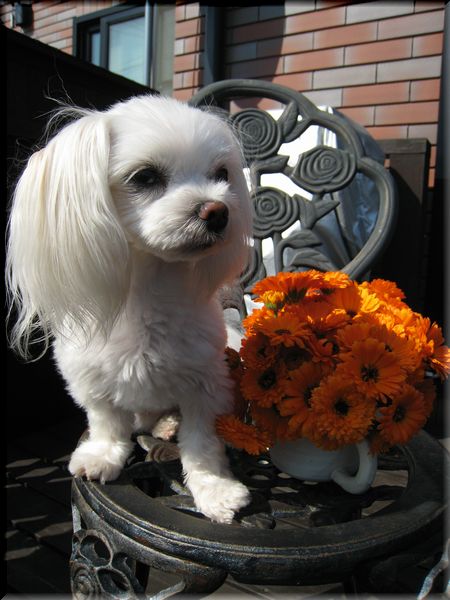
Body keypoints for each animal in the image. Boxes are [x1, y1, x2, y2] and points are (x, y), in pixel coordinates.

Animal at [6, 95, 253, 523]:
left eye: (222, 173)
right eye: (145, 177)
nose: (218, 211)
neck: (147, 295)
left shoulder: (206, 385)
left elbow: (202, 444)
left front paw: (215, 490)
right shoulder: (88, 377)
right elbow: (107, 423)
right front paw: (103, 455)